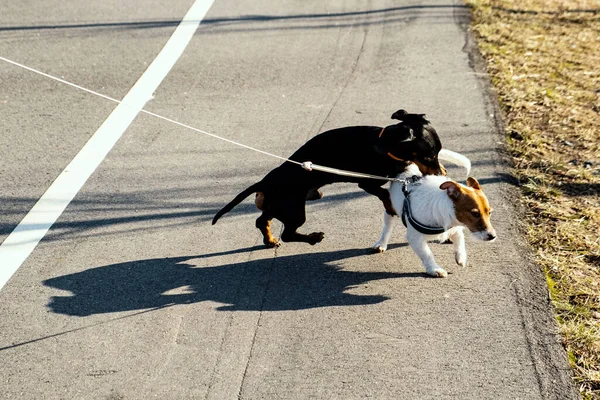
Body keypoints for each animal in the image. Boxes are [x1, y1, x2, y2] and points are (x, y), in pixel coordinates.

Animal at [213, 109, 442, 247]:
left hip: (281, 205)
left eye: (438, 152)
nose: (440, 175)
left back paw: (269, 240)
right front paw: (391, 207)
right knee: (287, 234)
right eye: (430, 155)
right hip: (294, 210)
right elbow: (384, 194)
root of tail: (266, 181)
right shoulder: (367, 182)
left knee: (262, 220)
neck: (384, 144)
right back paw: (313, 238)